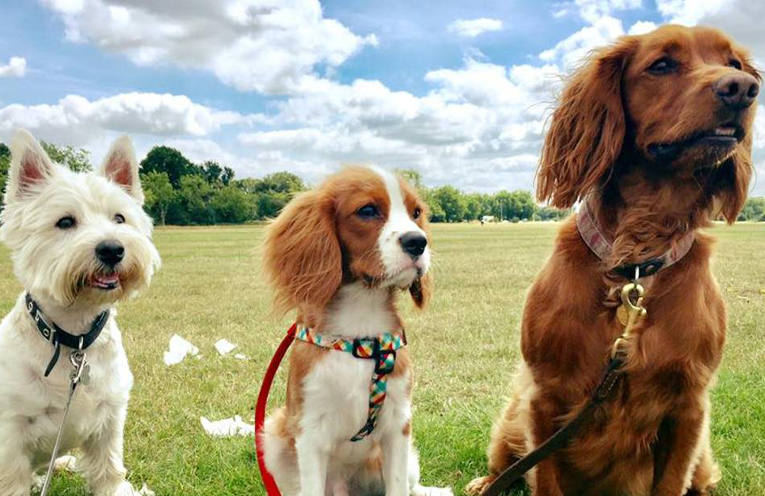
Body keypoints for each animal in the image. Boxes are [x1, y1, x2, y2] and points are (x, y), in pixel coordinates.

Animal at [0, 130, 161, 494]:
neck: (74, 338)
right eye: (65, 222)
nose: (113, 249)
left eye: (119, 218)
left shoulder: (110, 417)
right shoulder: (10, 432)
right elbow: (13, 478)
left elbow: (109, 470)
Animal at [262, 167, 450, 496]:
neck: (360, 327)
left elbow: (398, 489)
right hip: (275, 433)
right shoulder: (309, 431)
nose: (419, 241)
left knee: (412, 486)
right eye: (367, 210)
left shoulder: (398, 424)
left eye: (415, 213)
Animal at [468, 26, 756, 496]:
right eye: (662, 64)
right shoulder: (543, 396)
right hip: (512, 415)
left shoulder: (689, 408)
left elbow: (670, 483)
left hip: (703, 457)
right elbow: (544, 478)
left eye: (733, 64)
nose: (744, 89)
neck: (635, 262)